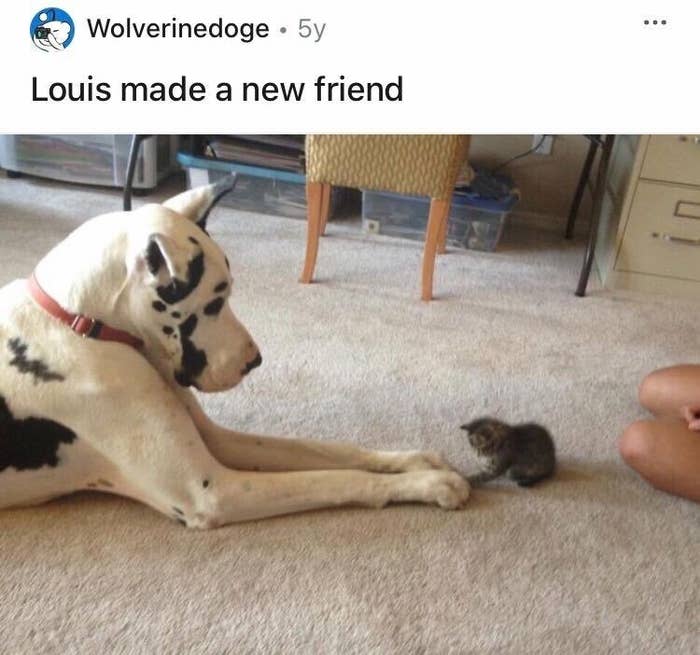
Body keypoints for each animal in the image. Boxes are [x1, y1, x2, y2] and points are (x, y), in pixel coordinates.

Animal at [2, 181, 470, 528]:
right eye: (214, 301)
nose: (254, 361)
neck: (78, 324)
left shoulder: (217, 439)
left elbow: (327, 450)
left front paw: (414, 461)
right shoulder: (212, 492)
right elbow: (337, 478)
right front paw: (432, 484)